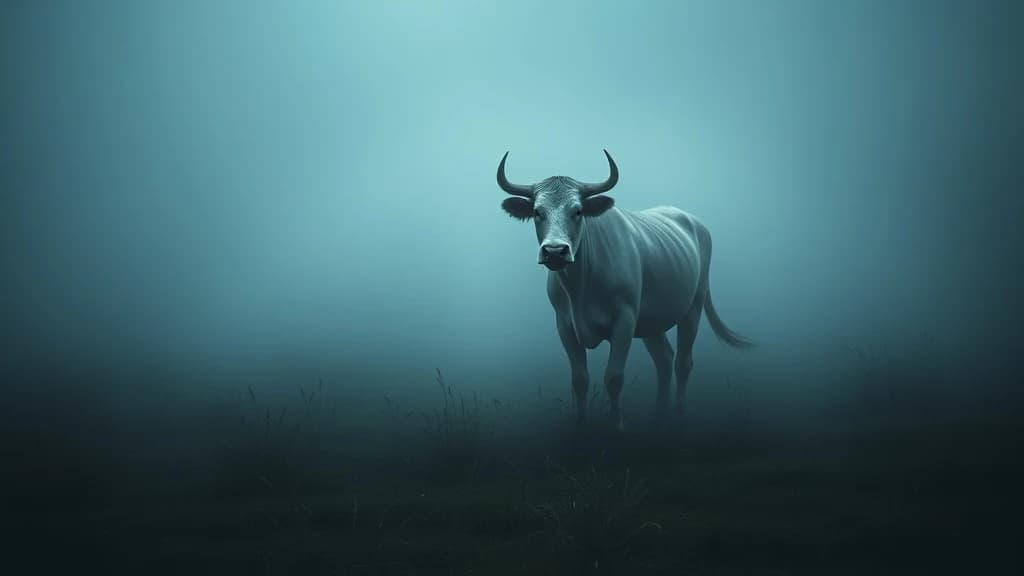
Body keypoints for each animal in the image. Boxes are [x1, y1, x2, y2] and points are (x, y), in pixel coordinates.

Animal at [497, 150, 752, 429]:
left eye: (578, 211)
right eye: (537, 212)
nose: (555, 251)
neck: (581, 288)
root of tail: (695, 224)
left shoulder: (625, 318)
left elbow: (614, 376)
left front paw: (617, 425)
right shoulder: (564, 324)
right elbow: (579, 379)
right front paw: (581, 423)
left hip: (693, 306)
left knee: (683, 362)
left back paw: (679, 412)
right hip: (653, 320)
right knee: (664, 359)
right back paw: (659, 414)